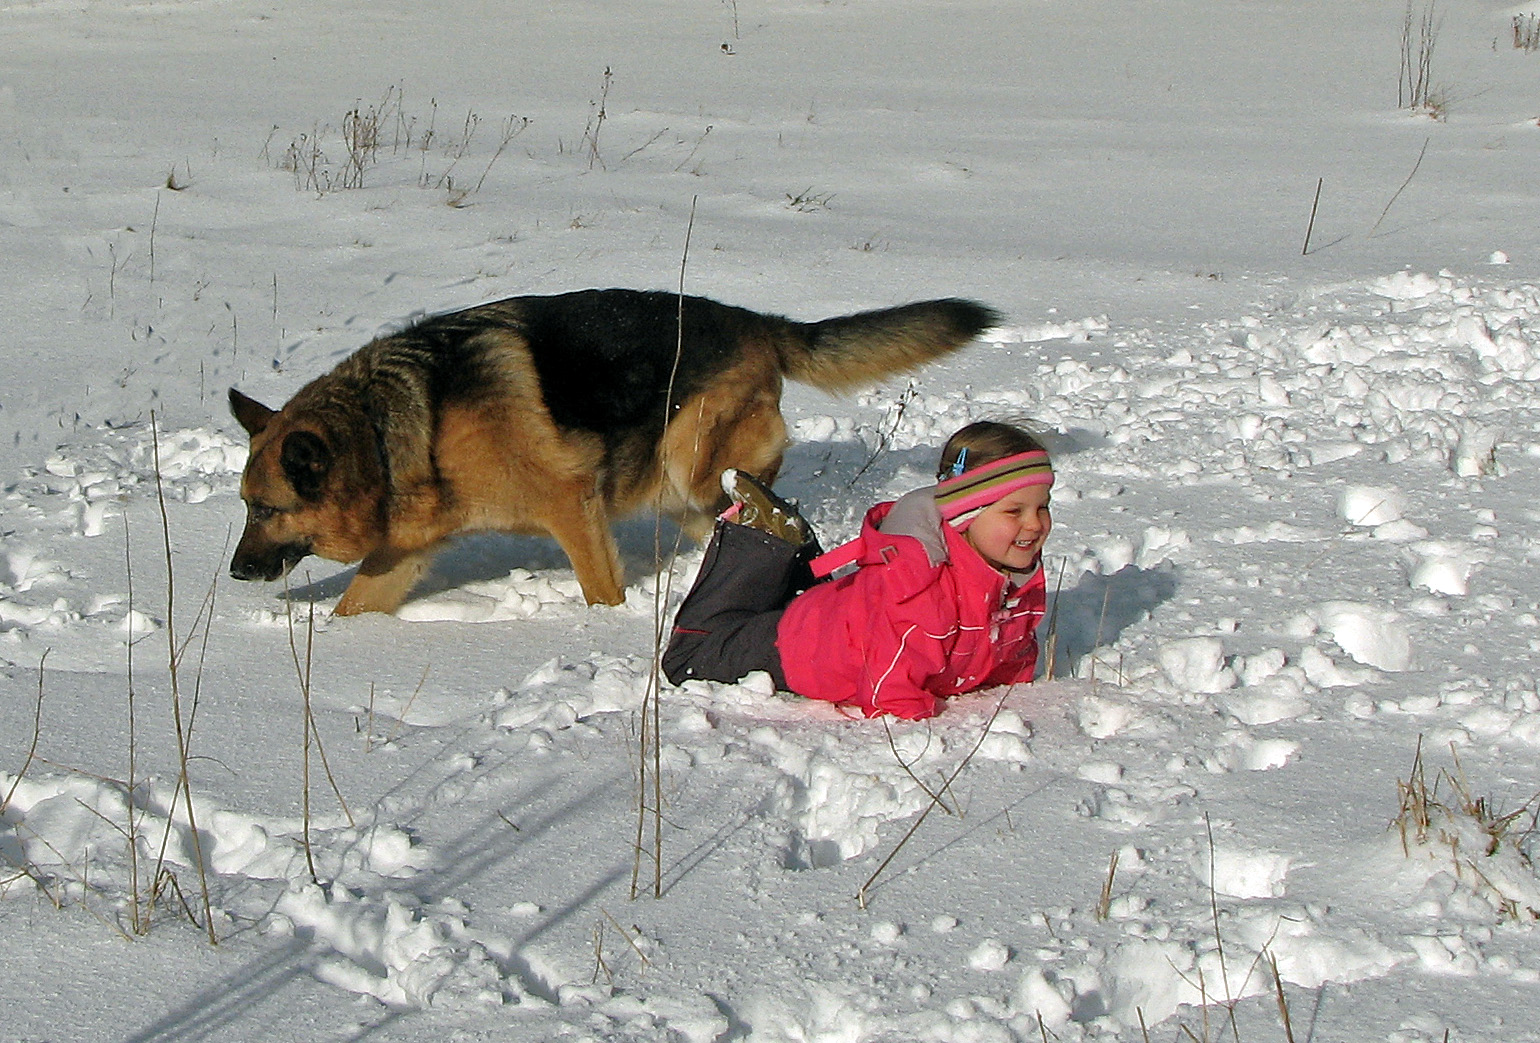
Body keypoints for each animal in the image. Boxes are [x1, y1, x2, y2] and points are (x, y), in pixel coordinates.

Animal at [224, 286, 997, 610]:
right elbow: (352, 608)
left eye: (265, 509)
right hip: (677, 491)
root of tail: (756, 321)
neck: (391, 432)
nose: (232, 572)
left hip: (690, 457)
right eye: (245, 505)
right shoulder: (400, 555)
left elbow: (600, 589)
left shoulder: (573, 506)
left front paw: (606, 626)